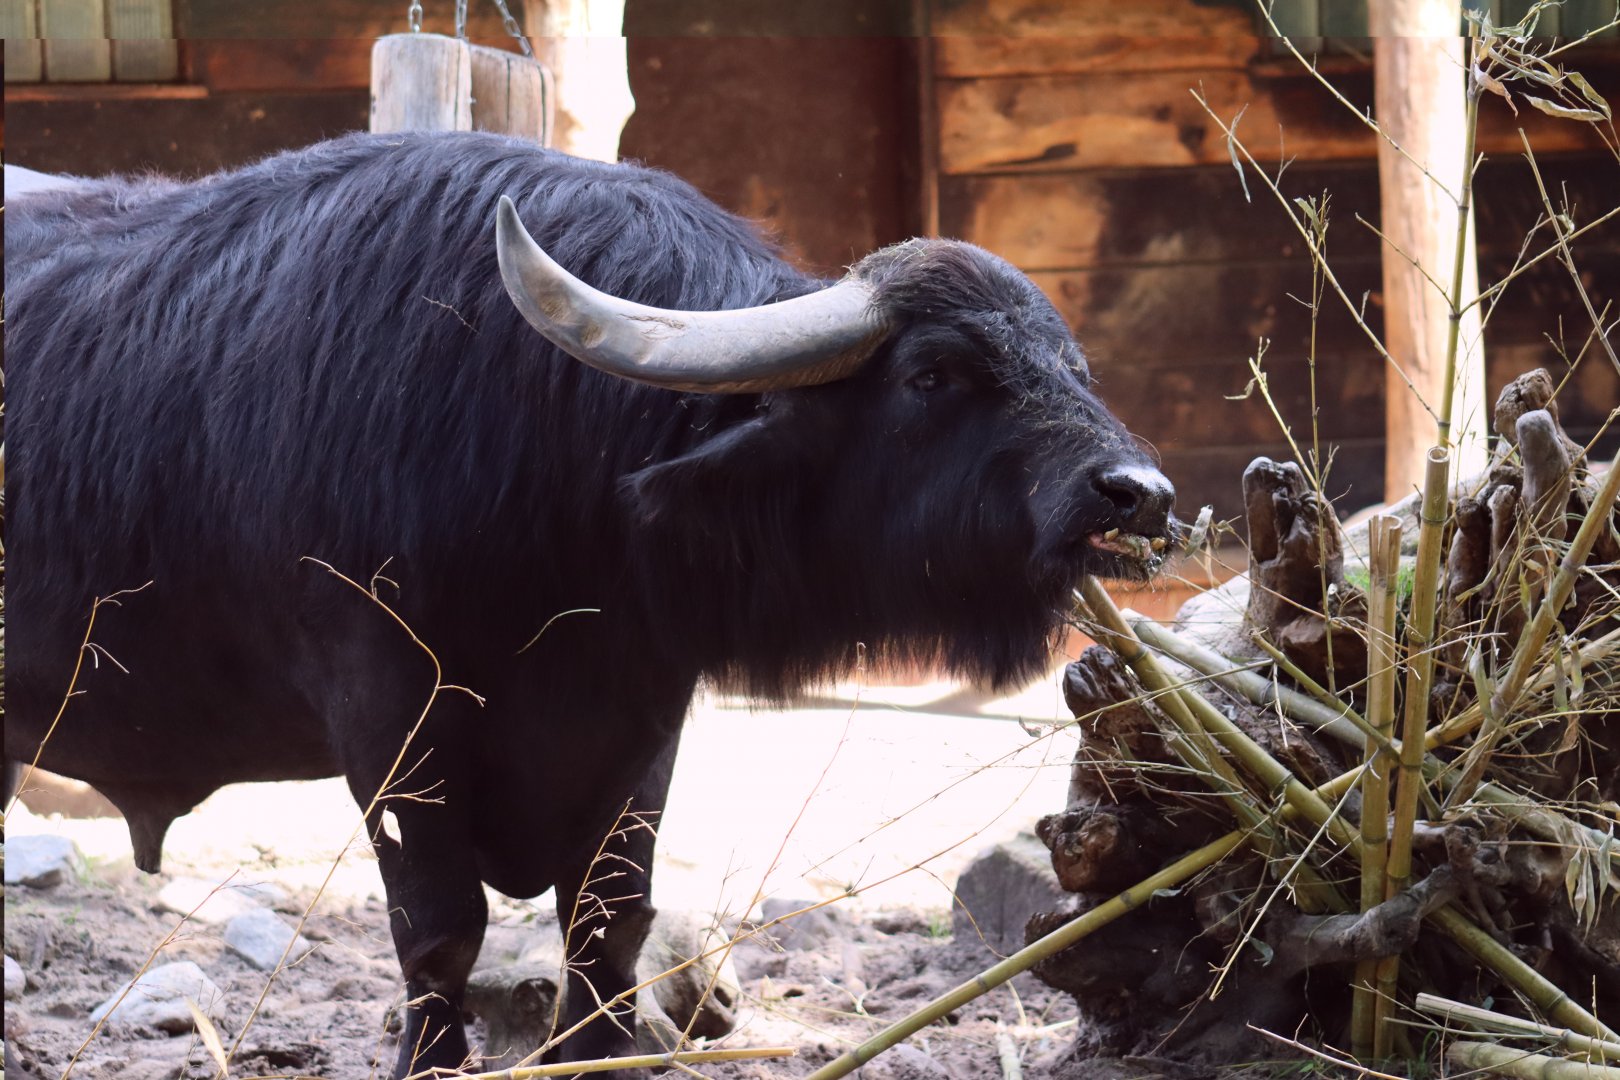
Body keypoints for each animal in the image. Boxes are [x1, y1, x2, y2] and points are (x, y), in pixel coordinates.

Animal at [4, 131, 1175, 1076]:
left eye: (1071, 364)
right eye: (935, 374)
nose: (1140, 495)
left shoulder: (643, 708)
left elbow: (609, 917)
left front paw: (602, 1052)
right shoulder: (387, 710)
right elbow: (438, 926)